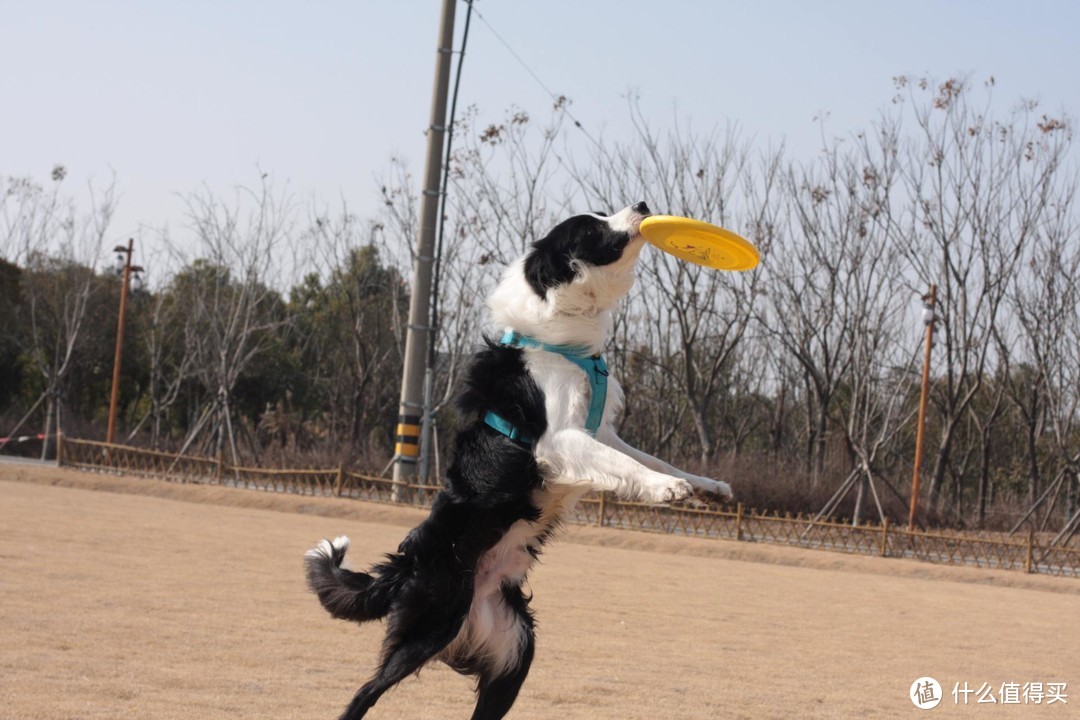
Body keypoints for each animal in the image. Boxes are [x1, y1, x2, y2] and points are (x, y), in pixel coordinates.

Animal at [306, 202, 734, 720]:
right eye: (591, 226)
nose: (643, 206)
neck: (566, 335)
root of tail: (404, 567)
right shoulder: (559, 438)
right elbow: (628, 465)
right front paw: (666, 491)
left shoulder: (599, 430)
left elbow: (651, 459)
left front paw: (707, 488)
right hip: (429, 626)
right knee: (364, 693)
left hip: (514, 648)